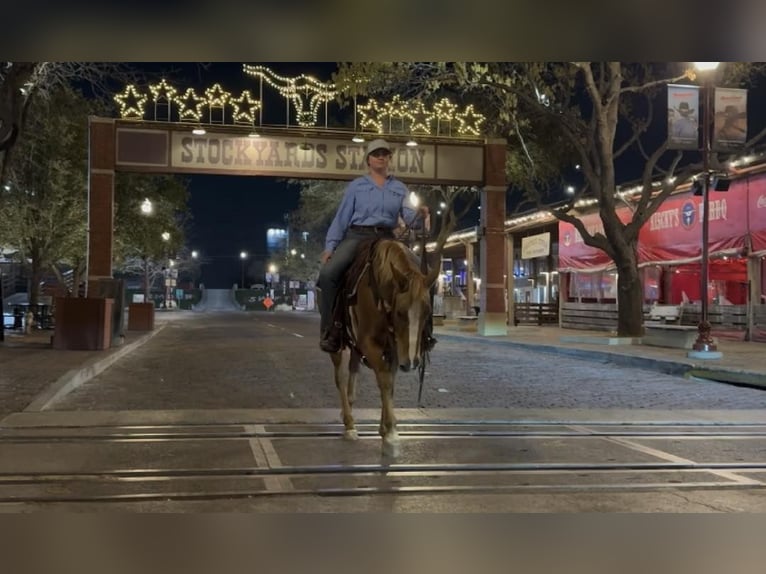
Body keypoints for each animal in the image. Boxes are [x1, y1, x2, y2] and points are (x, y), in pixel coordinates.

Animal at [328, 238, 438, 460]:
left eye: (427, 311)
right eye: (400, 312)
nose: (412, 362)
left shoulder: (395, 350)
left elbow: (389, 382)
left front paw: (385, 430)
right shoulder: (370, 344)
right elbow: (385, 382)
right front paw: (391, 435)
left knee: (353, 370)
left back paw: (349, 410)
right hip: (338, 346)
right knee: (340, 377)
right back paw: (349, 424)